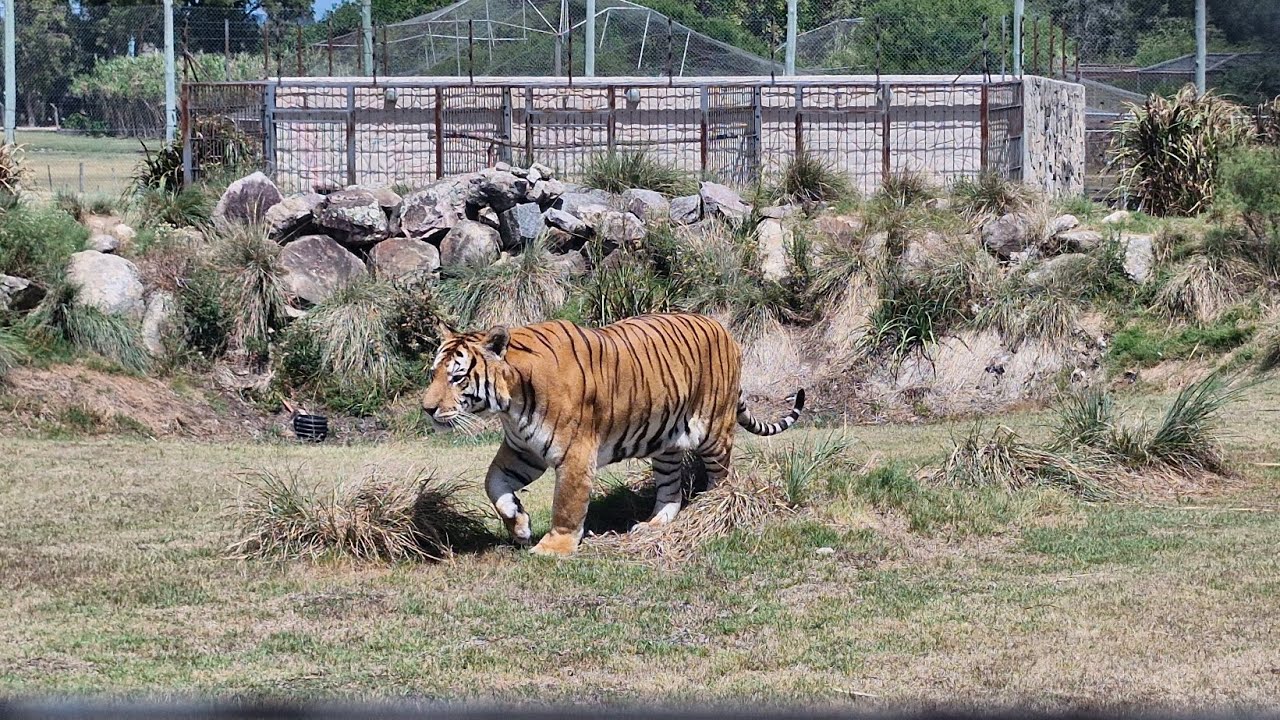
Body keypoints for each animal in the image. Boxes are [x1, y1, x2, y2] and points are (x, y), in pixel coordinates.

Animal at [421, 312, 805, 556]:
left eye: (457, 377)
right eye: (434, 373)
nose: (427, 409)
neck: (510, 404)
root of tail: (723, 329)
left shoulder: (575, 453)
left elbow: (567, 504)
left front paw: (553, 547)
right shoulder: (523, 451)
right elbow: (493, 483)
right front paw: (519, 525)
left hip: (713, 430)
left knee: (722, 477)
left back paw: (710, 512)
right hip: (666, 443)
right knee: (670, 489)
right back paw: (653, 525)